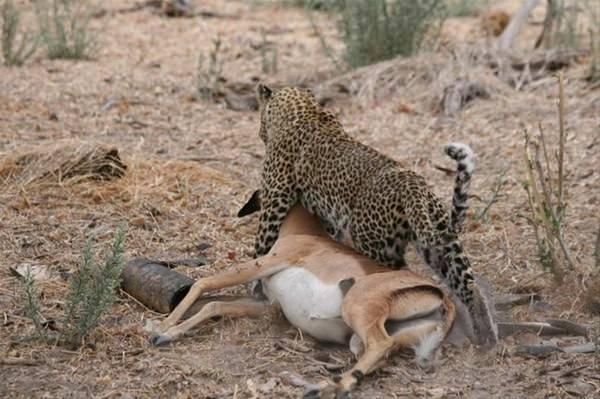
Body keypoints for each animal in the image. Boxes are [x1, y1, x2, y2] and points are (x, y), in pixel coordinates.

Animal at [253, 84, 496, 346]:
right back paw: (487, 336)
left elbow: (261, 247)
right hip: (440, 243)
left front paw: (256, 290)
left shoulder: (275, 200)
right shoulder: (328, 219)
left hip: (377, 247)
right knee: (469, 286)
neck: (305, 110)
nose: (259, 133)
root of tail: (412, 186)